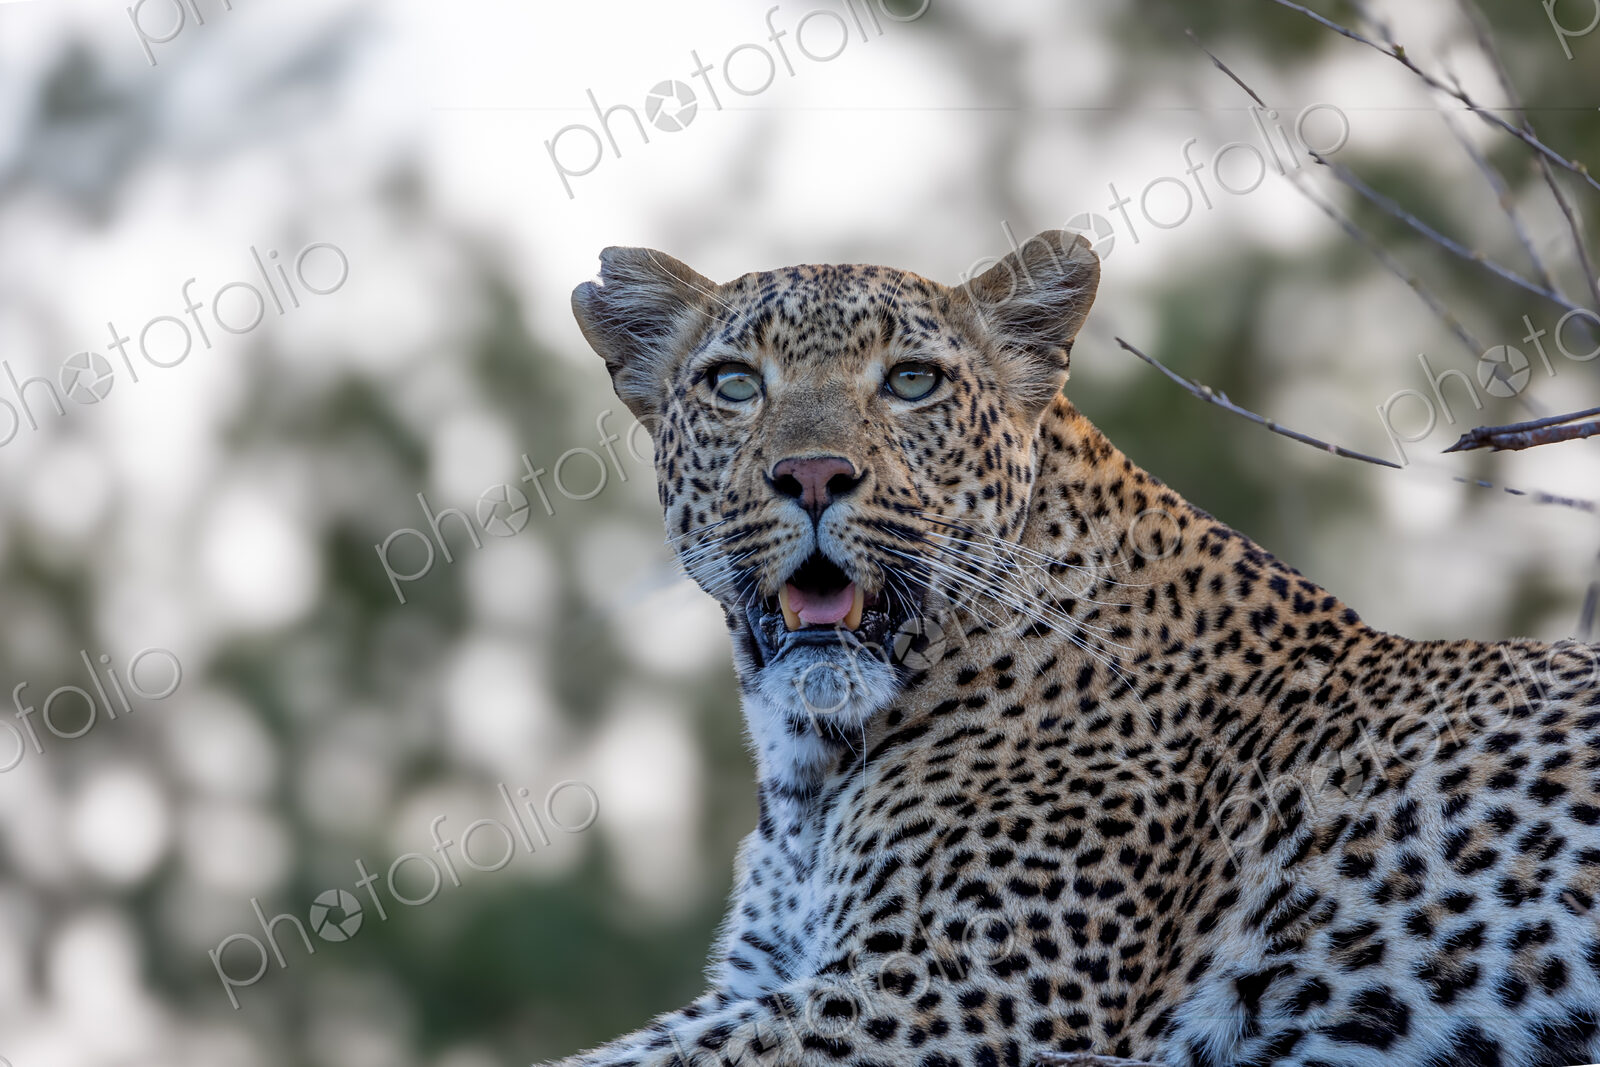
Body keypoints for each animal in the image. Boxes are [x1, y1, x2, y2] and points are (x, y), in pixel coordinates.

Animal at [561, 230, 1600, 1067]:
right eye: (735, 384)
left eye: (911, 380)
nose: (813, 473)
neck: (810, 758)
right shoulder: (774, 978)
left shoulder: (950, 991)